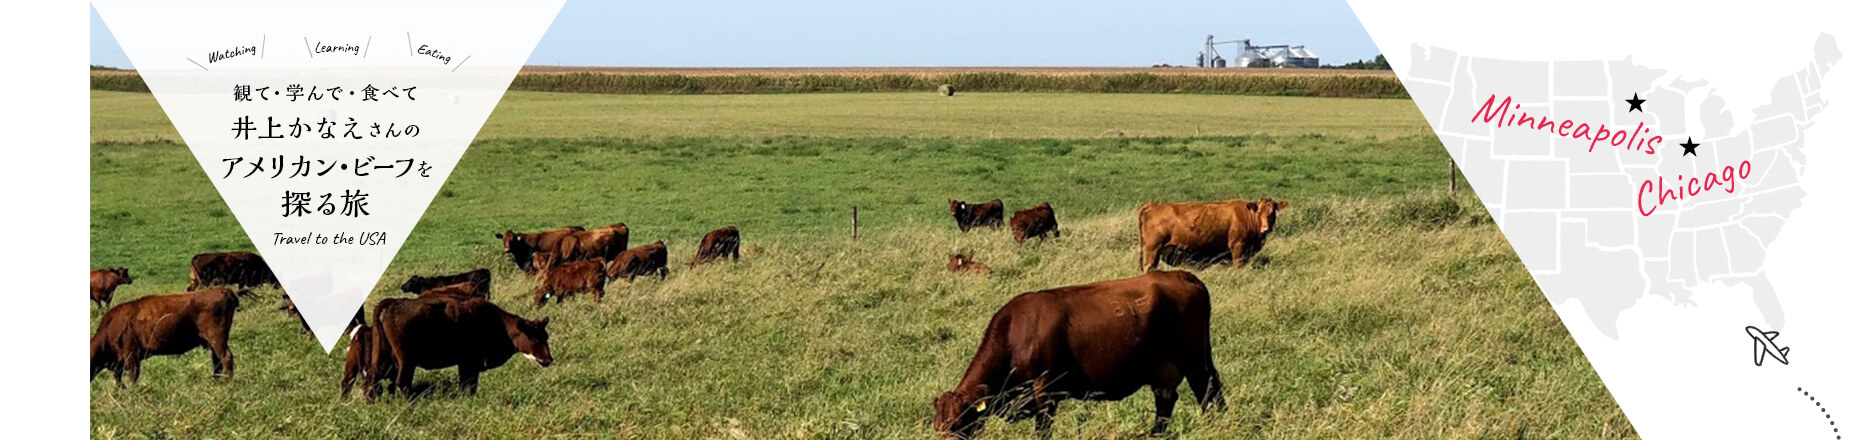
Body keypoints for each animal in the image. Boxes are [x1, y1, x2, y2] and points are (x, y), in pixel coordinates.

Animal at [90, 287, 239, 382]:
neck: (110, 326)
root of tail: (224, 291)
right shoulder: (120, 362)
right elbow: (118, 378)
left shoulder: (131, 355)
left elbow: (133, 376)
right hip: (213, 342)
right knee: (217, 361)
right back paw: (215, 382)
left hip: (217, 339)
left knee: (226, 357)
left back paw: (228, 383)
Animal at [362, 295, 550, 402]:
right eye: (534, 337)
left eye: (546, 336)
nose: (549, 359)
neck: (497, 323)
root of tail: (395, 303)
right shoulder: (470, 363)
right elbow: (469, 385)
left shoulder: (465, 364)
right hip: (406, 361)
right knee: (402, 382)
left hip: (386, 358)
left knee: (372, 378)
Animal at [930, 269, 1220, 438]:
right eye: (938, 426)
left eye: (958, 423)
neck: (1016, 331)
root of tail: (1182, 275)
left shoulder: (1046, 390)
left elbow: (1043, 430)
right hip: (1167, 367)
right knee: (1168, 401)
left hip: (1194, 360)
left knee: (1206, 393)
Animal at [1130, 196, 1294, 271]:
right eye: (1259, 212)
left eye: (1273, 212)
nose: (1265, 228)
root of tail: (1152, 205)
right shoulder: (1237, 246)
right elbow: (1238, 265)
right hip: (1153, 249)